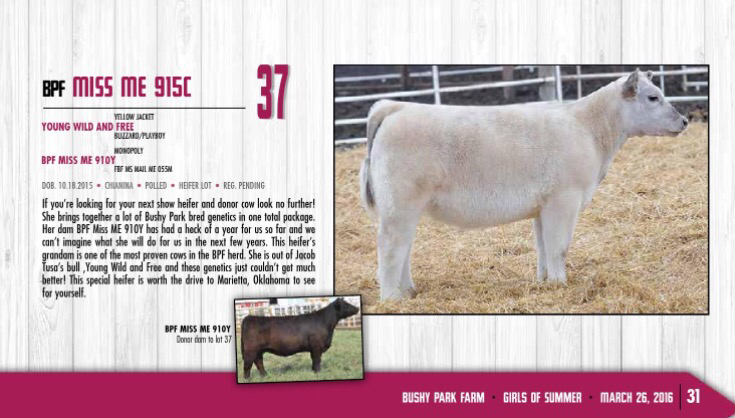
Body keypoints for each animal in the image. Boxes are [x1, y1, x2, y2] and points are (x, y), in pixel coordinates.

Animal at [359, 69, 689, 301]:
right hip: (399, 205)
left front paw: (545, 282)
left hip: (405, 209)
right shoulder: (564, 199)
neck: (589, 129)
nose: (685, 121)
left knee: (404, 247)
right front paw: (560, 282)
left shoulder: (543, 206)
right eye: (653, 97)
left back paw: (408, 291)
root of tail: (395, 107)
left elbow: (543, 246)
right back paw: (392, 297)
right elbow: (559, 247)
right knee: (390, 247)